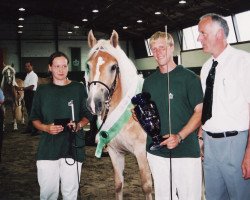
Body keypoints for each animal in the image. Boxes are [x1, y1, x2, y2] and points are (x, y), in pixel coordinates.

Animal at [85, 30, 153, 200]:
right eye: (88, 66)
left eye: (113, 67)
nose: (94, 103)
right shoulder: (115, 153)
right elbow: (118, 184)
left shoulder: (142, 153)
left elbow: (146, 186)